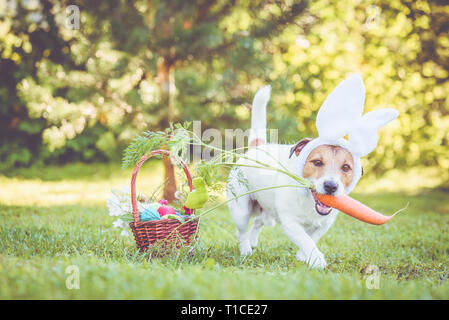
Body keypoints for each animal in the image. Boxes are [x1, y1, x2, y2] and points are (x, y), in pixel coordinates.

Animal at [226, 76, 398, 268]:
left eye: (346, 167)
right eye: (317, 162)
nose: (330, 186)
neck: (308, 200)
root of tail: (258, 147)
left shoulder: (323, 225)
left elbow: (312, 238)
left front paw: (303, 256)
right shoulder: (291, 223)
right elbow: (305, 239)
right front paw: (317, 260)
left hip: (266, 211)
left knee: (258, 222)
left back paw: (253, 242)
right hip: (241, 209)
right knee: (241, 231)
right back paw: (246, 250)